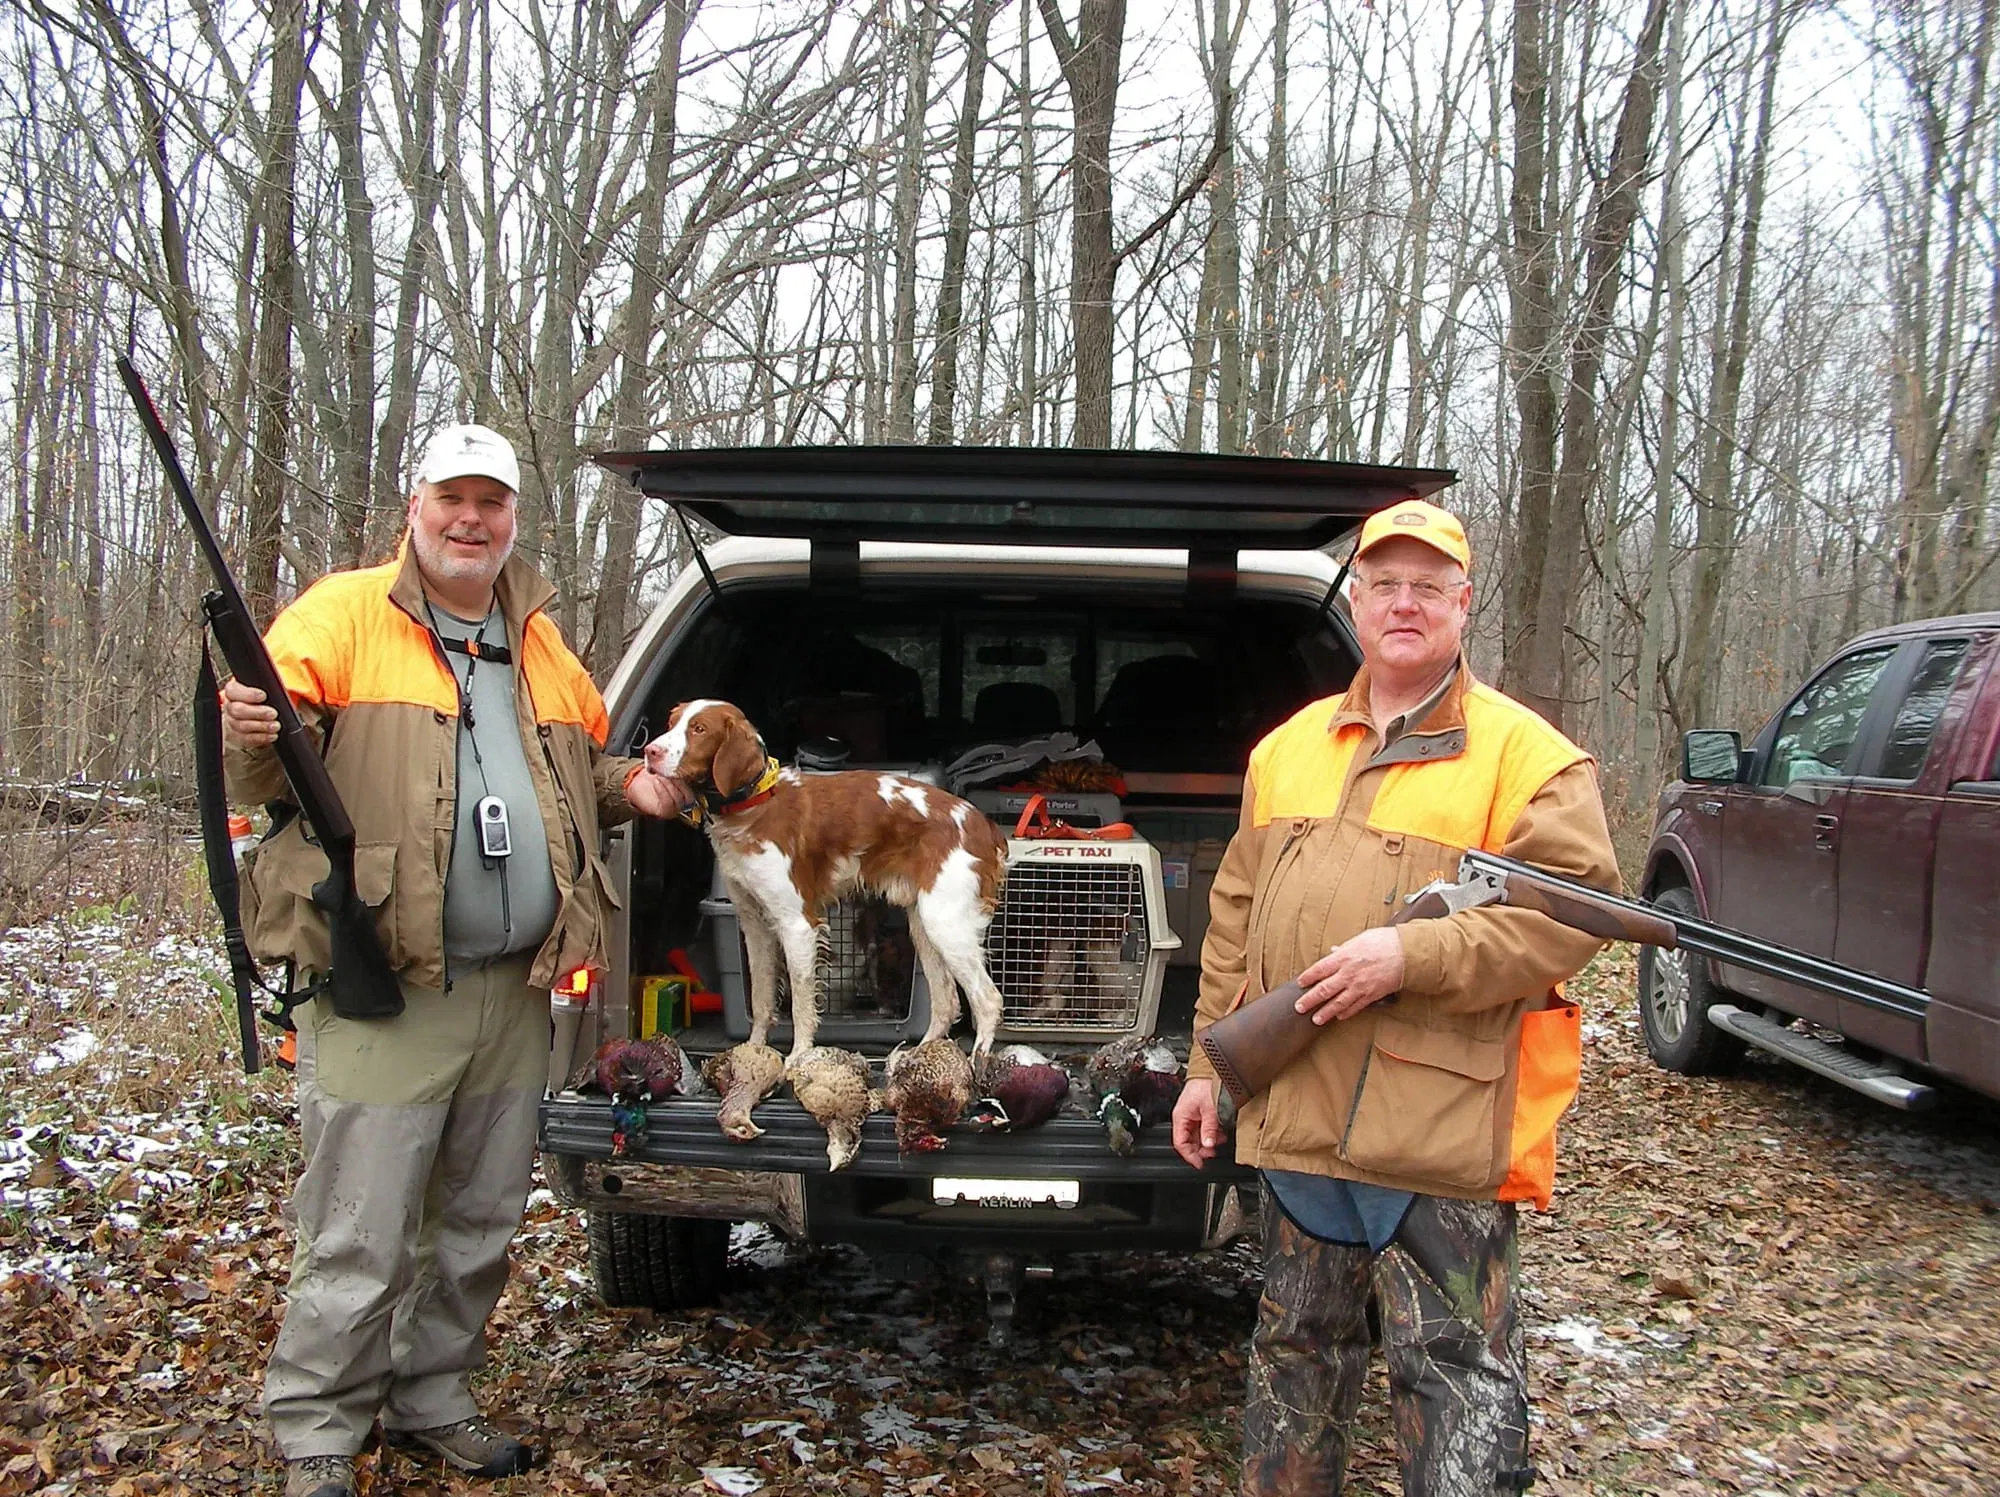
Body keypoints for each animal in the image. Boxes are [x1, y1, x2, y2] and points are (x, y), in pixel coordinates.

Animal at [645, 700, 1009, 1061]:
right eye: (672, 722)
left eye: (699, 729)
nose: (649, 751)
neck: (753, 805)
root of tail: (982, 823)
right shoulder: (754, 924)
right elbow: (761, 1000)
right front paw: (752, 1049)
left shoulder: (797, 924)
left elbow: (801, 1004)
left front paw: (797, 1057)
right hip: (924, 924)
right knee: (947, 1001)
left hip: (945, 922)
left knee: (987, 999)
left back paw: (976, 1062)